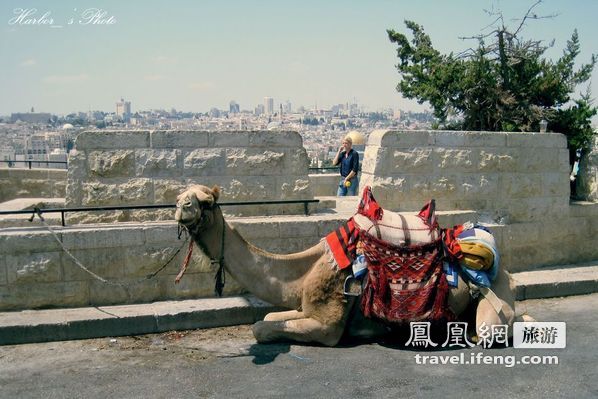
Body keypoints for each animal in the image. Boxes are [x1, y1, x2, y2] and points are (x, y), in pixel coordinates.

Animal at [176, 185, 524, 346]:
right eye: (181, 196)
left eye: (206, 201)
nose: (182, 207)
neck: (305, 270)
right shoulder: (306, 307)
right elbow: (269, 318)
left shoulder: (327, 325)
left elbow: (260, 328)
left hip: (494, 298)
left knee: (490, 328)